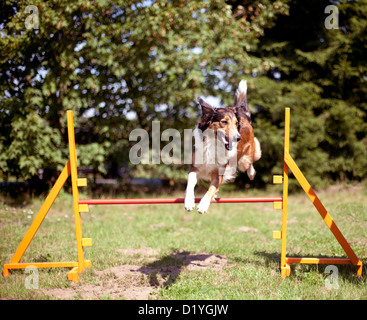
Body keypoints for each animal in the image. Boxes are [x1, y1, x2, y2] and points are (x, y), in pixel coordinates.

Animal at [185, 80, 260, 214]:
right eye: (224, 122)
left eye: (236, 124)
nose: (238, 138)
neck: (214, 144)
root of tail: (242, 113)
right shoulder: (194, 168)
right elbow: (190, 184)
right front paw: (189, 202)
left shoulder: (219, 174)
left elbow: (211, 188)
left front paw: (203, 205)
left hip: (244, 161)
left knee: (250, 161)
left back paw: (251, 173)